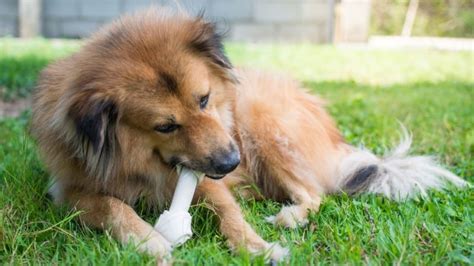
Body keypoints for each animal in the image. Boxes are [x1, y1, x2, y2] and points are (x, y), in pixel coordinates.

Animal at [31, 8, 468, 262]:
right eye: (166, 126)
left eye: (204, 99)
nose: (231, 163)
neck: (139, 161)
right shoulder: (70, 191)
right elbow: (112, 206)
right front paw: (147, 241)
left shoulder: (207, 175)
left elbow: (229, 212)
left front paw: (256, 247)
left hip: (262, 123)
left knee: (316, 193)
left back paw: (289, 215)